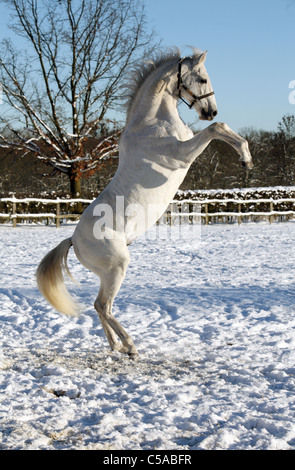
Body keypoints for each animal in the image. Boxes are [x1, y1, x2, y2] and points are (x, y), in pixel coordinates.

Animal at [36, 48, 254, 356]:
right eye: (201, 78)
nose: (210, 110)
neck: (152, 122)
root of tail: (72, 240)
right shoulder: (182, 155)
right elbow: (216, 129)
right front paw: (246, 158)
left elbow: (218, 129)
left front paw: (246, 159)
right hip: (117, 267)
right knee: (104, 305)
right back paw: (130, 345)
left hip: (107, 273)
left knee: (99, 306)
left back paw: (116, 345)